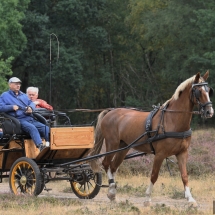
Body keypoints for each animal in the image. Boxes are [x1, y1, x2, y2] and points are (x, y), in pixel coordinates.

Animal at [89, 71, 213, 207]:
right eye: (198, 91)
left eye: (209, 90)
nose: (209, 112)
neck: (172, 119)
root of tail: (111, 111)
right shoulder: (160, 154)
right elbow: (154, 175)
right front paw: (147, 198)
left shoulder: (182, 153)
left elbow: (184, 175)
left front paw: (190, 199)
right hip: (112, 144)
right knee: (106, 164)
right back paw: (111, 189)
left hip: (123, 147)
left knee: (113, 167)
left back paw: (112, 194)